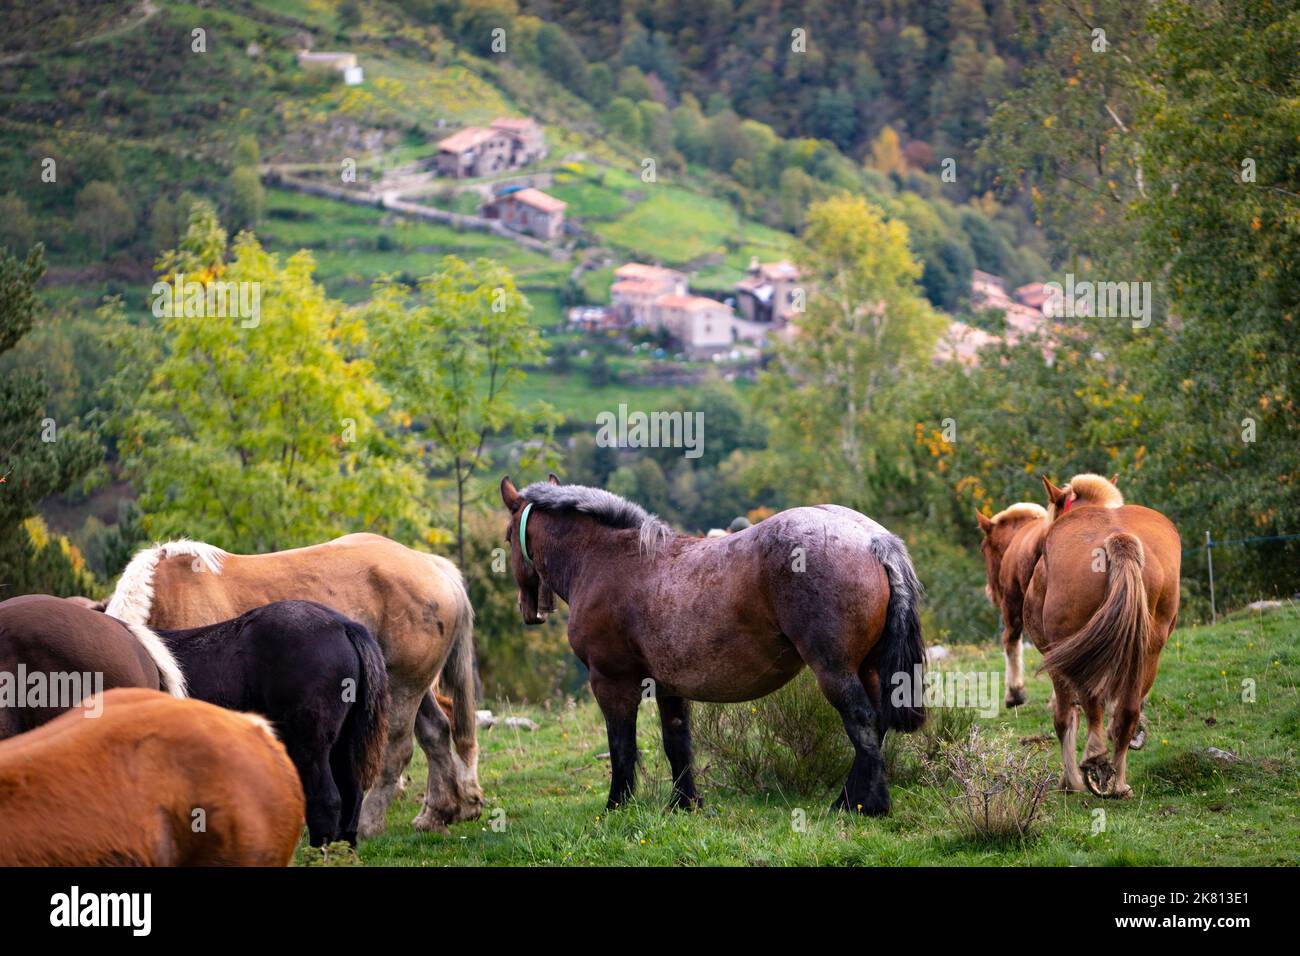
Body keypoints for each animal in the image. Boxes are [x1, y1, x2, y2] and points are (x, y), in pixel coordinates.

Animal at [105, 533, 481, 836]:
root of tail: (433, 566)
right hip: (407, 686)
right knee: (436, 732)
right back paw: (438, 813)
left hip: (404, 688)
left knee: (396, 752)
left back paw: (368, 823)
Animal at [499, 476, 927, 815]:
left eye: (506, 537)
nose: (527, 609)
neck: (607, 559)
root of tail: (872, 539)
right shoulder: (667, 686)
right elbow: (677, 744)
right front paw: (684, 803)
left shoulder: (611, 681)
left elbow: (622, 748)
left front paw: (616, 805)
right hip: (868, 667)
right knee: (877, 725)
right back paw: (853, 800)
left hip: (835, 670)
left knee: (863, 723)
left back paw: (864, 805)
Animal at [1023, 474, 1180, 797]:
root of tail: (1118, 539)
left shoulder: (1056, 660)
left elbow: (1065, 719)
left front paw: (1070, 781)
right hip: (1147, 651)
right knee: (1126, 713)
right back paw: (1119, 783)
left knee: (1091, 705)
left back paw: (1095, 762)